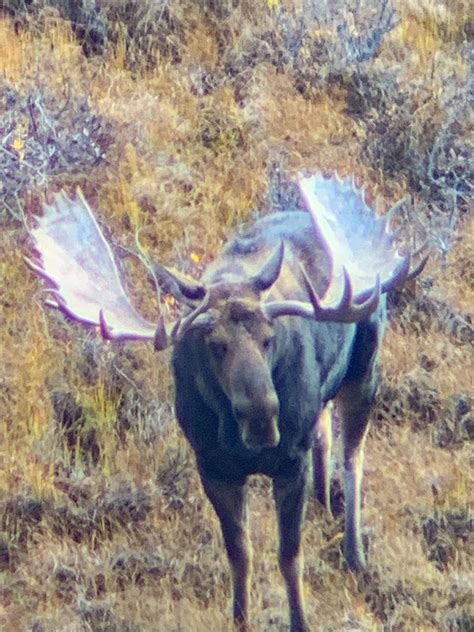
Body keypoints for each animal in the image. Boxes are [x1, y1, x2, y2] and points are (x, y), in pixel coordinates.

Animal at [25, 174, 426, 632]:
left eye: (269, 337)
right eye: (214, 345)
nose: (263, 420)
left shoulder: (291, 462)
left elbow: (289, 556)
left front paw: (300, 620)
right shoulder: (212, 466)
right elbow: (239, 554)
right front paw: (240, 618)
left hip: (365, 370)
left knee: (353, 456)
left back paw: (355, 554)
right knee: (325, 431)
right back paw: (324, 507)